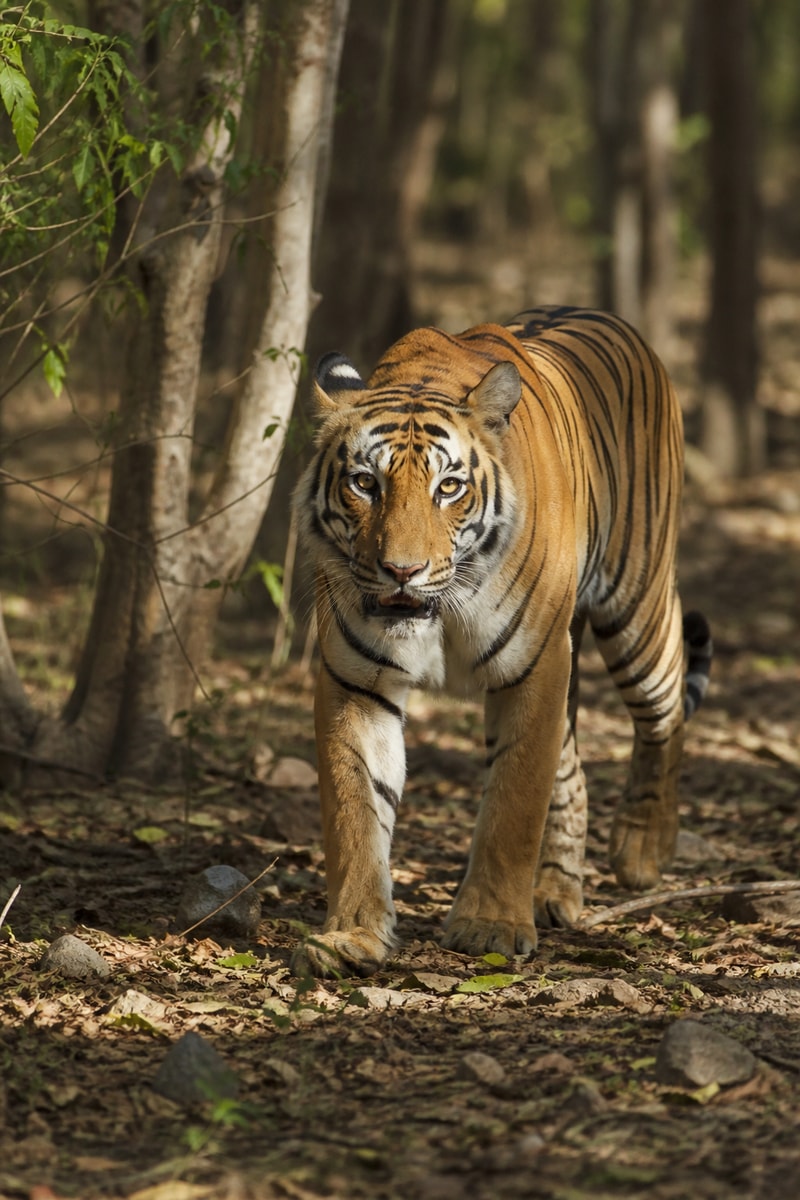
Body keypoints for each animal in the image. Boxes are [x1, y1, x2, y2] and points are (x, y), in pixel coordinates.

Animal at [292, 305, 712, 978]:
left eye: (448, 487)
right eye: (364, 483)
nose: (401, 570)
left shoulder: (534, 667)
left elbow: (514, 802)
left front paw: (489, 926)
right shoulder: (355, 681)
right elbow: (355, 810)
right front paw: (351, 937)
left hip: (636, 607)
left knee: (664, 710)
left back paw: (643, 848)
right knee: (573, 772)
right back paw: (553, 893)